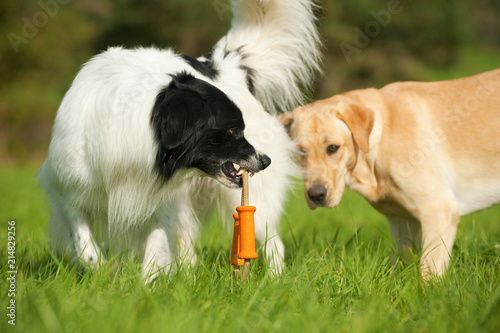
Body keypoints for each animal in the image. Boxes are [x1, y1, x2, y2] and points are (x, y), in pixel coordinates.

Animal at [39, 0, 320, 282]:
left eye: (242, 129)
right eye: (232, 131)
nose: (266, 160)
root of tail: (224, 64)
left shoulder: (162, 199)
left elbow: (156, 243)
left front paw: (146, 284)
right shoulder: (67, 189)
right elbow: (84, 244)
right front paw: (104, 273)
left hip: (255, 201)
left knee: (272, 240)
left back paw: (275, 278)